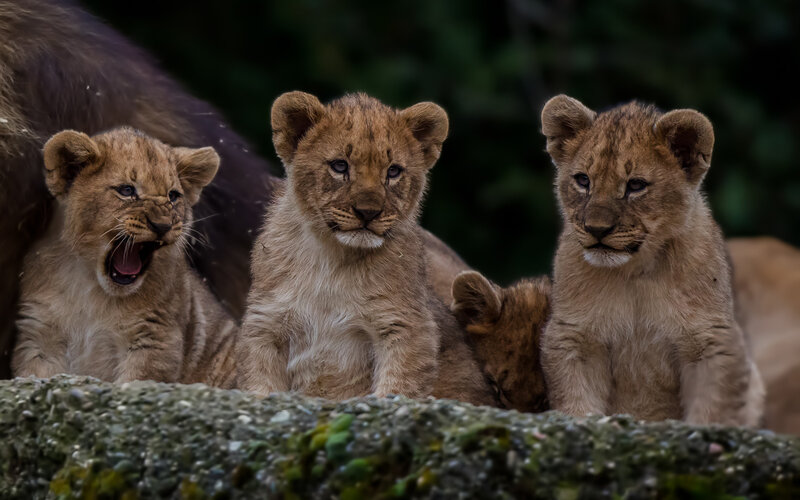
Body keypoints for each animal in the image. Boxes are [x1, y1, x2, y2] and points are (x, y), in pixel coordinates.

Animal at [11, 128, 238, 388]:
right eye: (127, 190)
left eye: (173, 196)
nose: (162, 225)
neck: (91, 287)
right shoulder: (39, 336)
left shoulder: (155, 337)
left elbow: (137, 381)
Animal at [237, 91, 495, 405]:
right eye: (339, 166)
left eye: (393, 171)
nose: (368, 212)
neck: (332, 258)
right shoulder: (267, 322)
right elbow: (260, 381)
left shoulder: (405, 324)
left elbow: (399, 384)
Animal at [539, 95, 764, 426]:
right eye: (582, 180)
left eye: (635, 185)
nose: (596, 229)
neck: (635, 271)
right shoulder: (574, 336)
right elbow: (577, 400)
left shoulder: (712, 341)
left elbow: (712, 409)